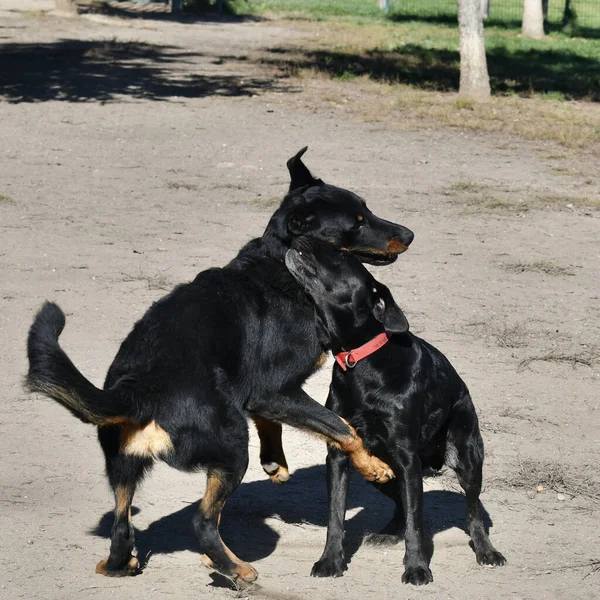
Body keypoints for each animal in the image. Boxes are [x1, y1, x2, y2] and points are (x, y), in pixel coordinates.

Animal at [25, 149, 414, 584]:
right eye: (357, 223)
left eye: (367, 209)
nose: (409, 234)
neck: (281, 265)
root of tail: (137, 391)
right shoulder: (275, 389)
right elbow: (342, 427)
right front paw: (373, 466)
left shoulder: (257, 393)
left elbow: (272, 420)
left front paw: (275, 461)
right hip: (230, 447)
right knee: (203, 522)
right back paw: (235, 568)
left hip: (124, 463)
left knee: (121, 527)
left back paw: (121, 563)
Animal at [286, 238, 506, 584]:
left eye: (340, 256)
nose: (299, 237)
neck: (360, 361)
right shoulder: (340, 455)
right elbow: (336, 518)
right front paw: (330, 561)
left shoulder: (407, 458)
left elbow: (417, 525)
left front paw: (416, 568)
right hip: (379, 470)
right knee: (402, 504)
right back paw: (390, 532)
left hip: (466, 457)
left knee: (472, 511)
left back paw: (486, 550)